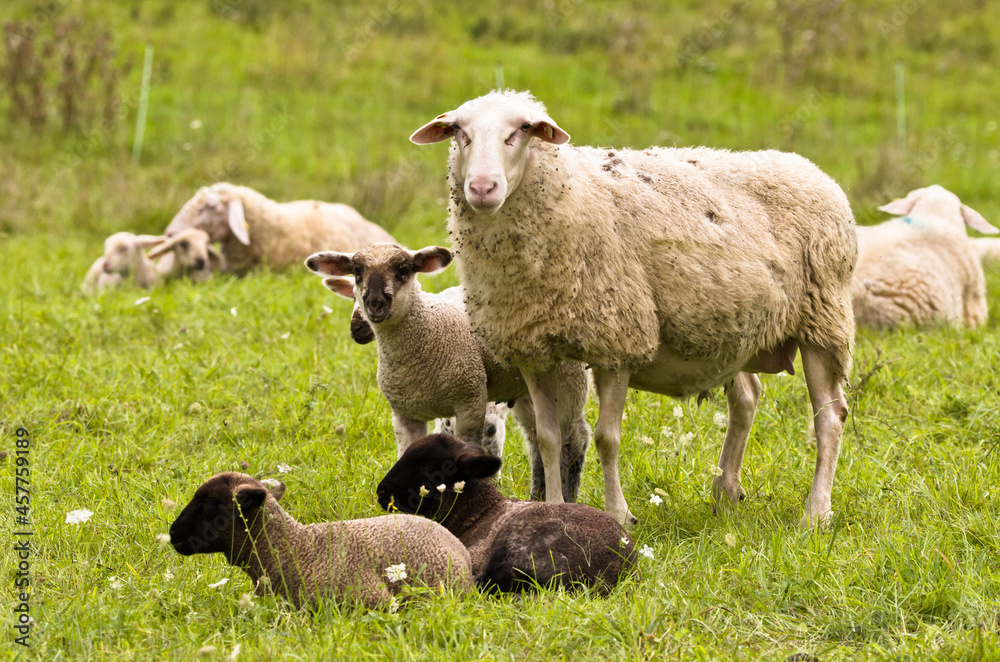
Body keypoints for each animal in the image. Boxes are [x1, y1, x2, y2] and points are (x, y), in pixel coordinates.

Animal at [305, 242, 591, 502]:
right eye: (356, 272)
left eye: (403, 270)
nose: (373, 306)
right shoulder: (405, 414)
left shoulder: (470, 403)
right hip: (524, 387)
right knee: (536, 437)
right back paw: (537, 496)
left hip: (567, 376)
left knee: (572, 438)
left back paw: (565, 496)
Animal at [410, 89, 858, 528]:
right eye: (459, 132)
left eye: (522, 129)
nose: (483, 187)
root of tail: (812, 169)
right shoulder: (532, 349)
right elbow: (549, 438)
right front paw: (554, 507)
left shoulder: (618, 339)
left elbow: (607, 438)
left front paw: (619, 514)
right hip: (735, 328)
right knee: (747, 400)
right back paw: (725, 492)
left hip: (823, 320)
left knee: (830, 418)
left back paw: (816, 513)